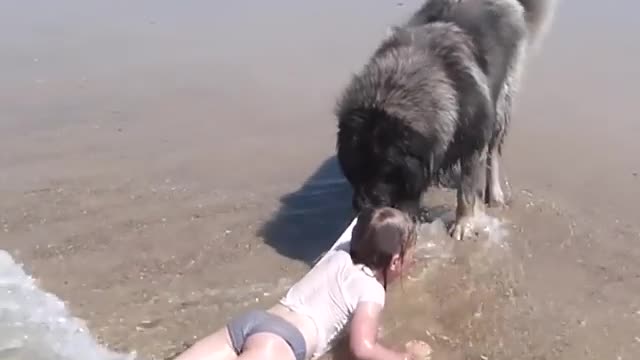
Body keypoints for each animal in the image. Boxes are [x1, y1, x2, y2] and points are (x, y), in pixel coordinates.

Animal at [336, 0, 556, 239]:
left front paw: (463, 224)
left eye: (385, 171)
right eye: (355, 168)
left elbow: (466, 191)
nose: (362, 206)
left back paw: (495, 193)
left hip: (502, 102)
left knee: (493, 152)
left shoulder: (472, 142)